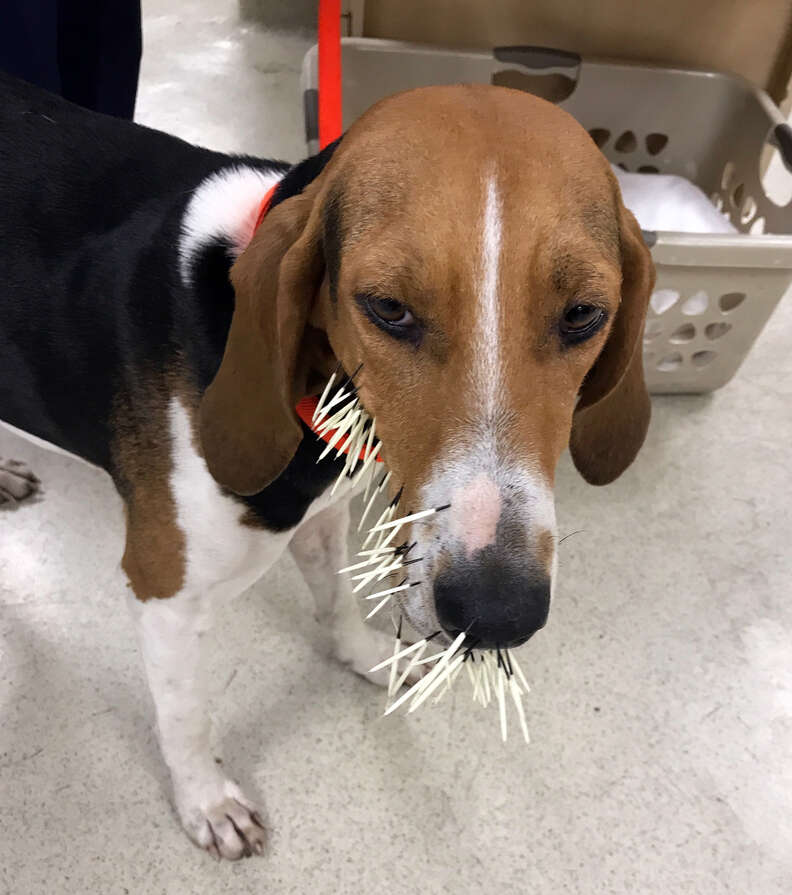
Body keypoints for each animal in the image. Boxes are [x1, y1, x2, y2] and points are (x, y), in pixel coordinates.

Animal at [0, 72, 652, 860]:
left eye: (584, 313)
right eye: (388, 308)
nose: (497, 614)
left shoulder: (324, 512)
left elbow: (336, 600)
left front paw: (365, 656)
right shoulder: (165, 592)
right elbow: (185, 716)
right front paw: (206, 801)